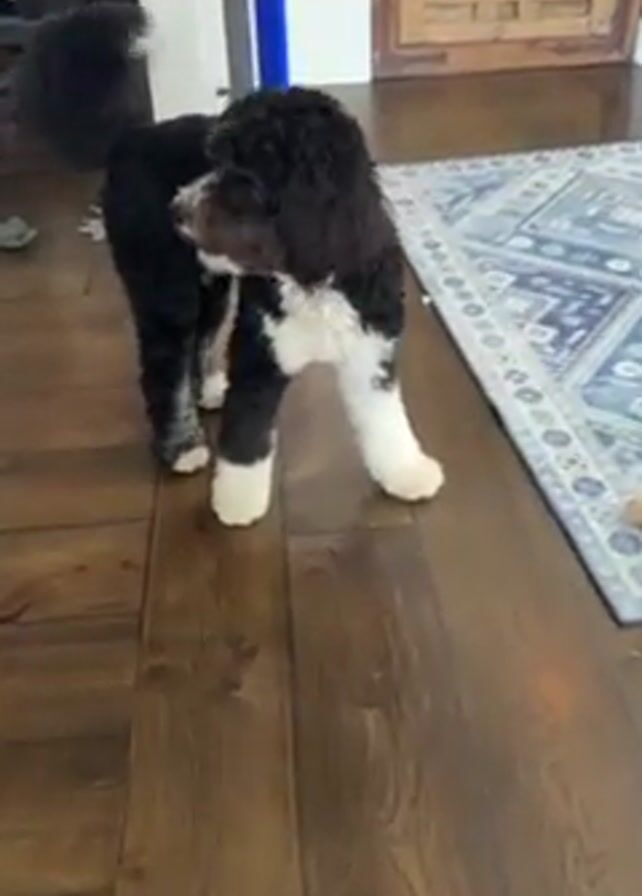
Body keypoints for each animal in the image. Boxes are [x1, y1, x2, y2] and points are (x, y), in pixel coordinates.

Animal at [17, 1, 444, 526]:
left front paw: (405, 472)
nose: (177, 209)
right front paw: (236, 502)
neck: (312, 278)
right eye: (214, 160)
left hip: (213, 290)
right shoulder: (260, 357)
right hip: (165, 288)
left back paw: (208, 389)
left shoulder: (371, 351)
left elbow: (386, 421)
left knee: (200, 343)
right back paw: (181, 446)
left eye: (244, 177)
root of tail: (130, 138)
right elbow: (246, 440)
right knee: (164, 370)